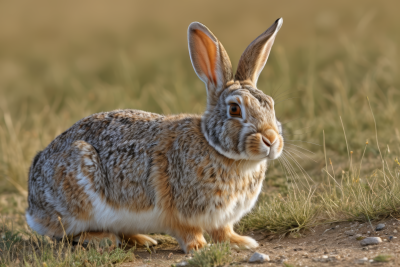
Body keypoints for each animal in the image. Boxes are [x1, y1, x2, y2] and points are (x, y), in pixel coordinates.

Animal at [25, 17, 284, 253]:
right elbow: (189, 232)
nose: (271, 140)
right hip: (78, 193)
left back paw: (142, 239)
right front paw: (200, 247)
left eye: (271, 104)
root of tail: (32, 206)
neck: (217, 148)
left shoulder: (222, 218)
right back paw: (105, 239)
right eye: (235, 109)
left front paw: (242, 242)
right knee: (67, 233)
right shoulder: (180, 212)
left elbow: (223, 231)